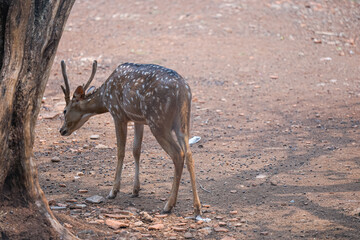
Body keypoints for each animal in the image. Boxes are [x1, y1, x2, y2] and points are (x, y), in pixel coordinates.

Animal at [57, 60, 201, 216]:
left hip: (158, 122)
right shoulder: (138, 120)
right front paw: (135, 190)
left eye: (64, 110)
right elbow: (136, 150)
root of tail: (183, 91)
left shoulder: (118, 114)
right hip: (182, 123)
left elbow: (120, 151)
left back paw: (169, 205)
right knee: (189, 154)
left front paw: (113, 191)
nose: (62, 130)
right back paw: (197, 208)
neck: (105, 98)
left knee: (178, 154)